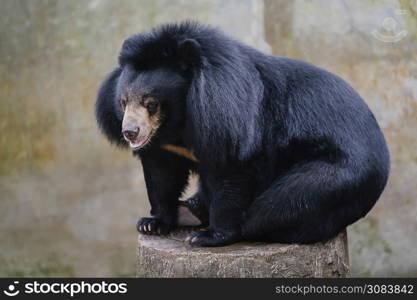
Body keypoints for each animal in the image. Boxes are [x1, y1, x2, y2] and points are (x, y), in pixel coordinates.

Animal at [96, 21, 388, 246]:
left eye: (151, 103)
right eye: (123, 101)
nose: (130, 132)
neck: (178, 121)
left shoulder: (228, 122)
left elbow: (230, 175)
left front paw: (209, 236)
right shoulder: (164, 145)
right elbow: (161, 174)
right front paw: (151, 223)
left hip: (337, 174)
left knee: (284, 204)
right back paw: (190, 209)